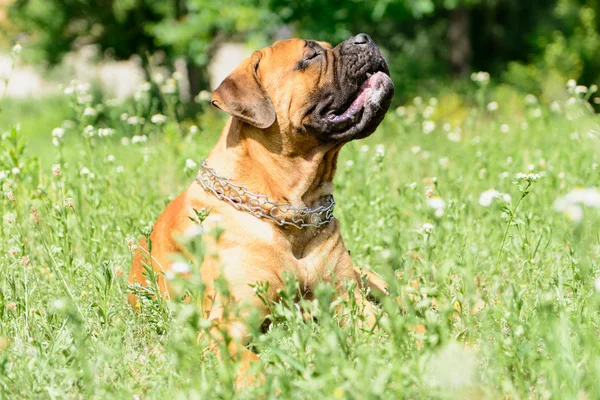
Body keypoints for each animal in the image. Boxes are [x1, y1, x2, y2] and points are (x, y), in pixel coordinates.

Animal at [127, 33, 394, 384]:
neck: (292, 212)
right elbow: (253, 366)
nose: (364, 38)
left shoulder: (349, 299)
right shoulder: (223, 326)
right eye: (311, 55)